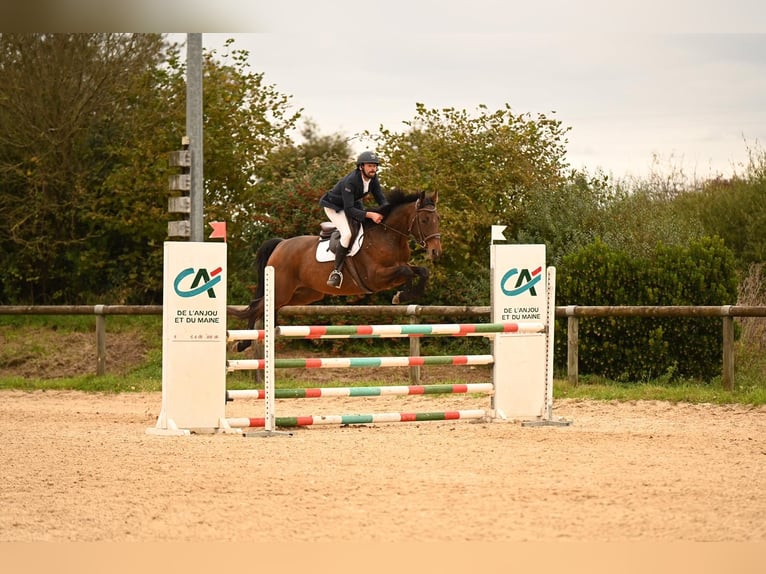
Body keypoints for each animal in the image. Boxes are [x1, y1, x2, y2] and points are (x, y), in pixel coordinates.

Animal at [228, 190, 444, 352]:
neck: (389, 235)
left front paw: (406, 294)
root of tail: (281, 244)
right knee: (257, 307)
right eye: (424, 220)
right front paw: (402, 295)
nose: (436, 251)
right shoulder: (375, 277)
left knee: (268, 307)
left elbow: (421, 271)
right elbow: (406, 272)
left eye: (438, 219)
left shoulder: (396, 269)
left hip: (304, 294)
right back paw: (243, 343)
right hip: (281, 289)